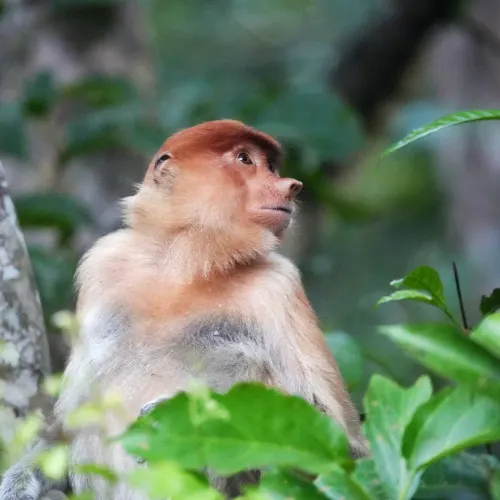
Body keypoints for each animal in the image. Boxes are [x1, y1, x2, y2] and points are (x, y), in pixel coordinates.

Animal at [0, 121, 368, 500]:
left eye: (270, 166)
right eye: (245, 159)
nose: (291, 186)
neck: (186, 263)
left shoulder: (279, 286)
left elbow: (344, 446)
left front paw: (195, 408)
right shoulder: (102, 263)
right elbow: (66, 422)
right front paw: (18, 485)